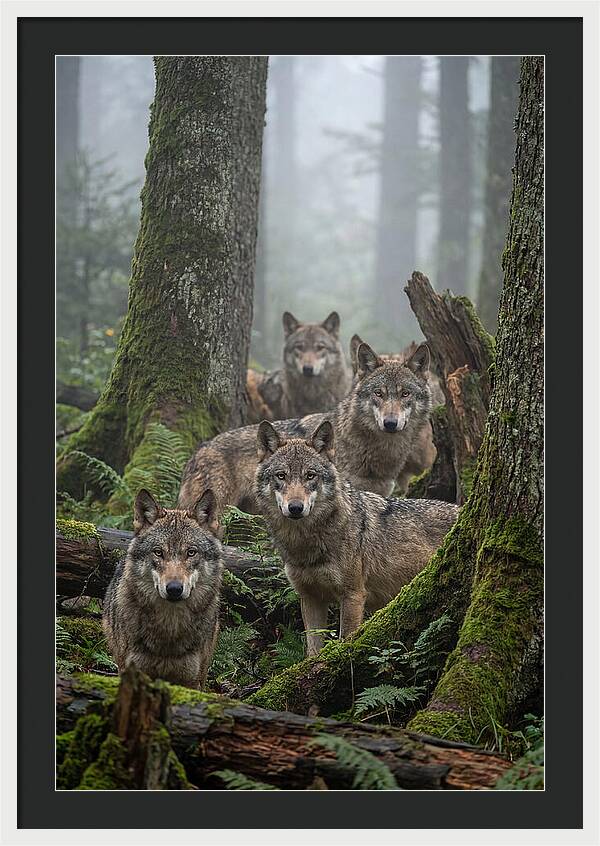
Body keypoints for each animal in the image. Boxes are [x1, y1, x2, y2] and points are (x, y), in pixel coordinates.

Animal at [255, 420, 459, 655]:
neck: (305, 544)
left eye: (310, 475)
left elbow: (345, 640)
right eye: (281, 475)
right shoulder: (310, 597)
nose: (295, 508)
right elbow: (312, 650)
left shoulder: (353, 595)